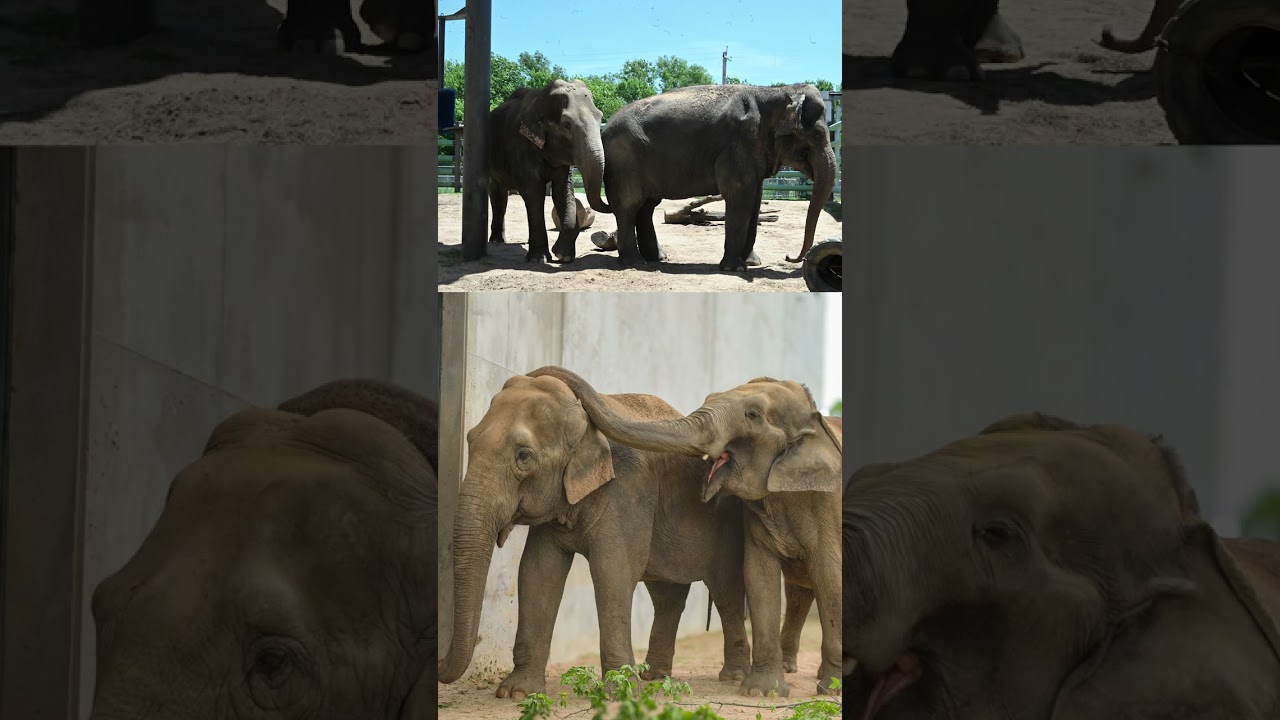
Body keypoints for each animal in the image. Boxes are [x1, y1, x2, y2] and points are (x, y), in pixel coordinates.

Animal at [438, 371, 779, 700]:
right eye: (470, 440)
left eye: (523, 456)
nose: (439, 660)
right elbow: (537, 571)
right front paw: (517, 692)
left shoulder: (628, 491)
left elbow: (612, 571)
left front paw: (621, 693)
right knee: (667, 597)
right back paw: (655, 677)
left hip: (728, 529)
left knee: (725, 593)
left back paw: (730, 677)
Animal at [487, 79, 610, 264]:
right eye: (566, 125)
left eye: (600, 117)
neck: (540, 97)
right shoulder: (520, 145)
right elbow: (533, 193)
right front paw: (539, 259)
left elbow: (563, 192)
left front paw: (563, 255)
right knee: (497, 195)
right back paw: (496, 241)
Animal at [527, 367, 844, 697]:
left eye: (753, 415)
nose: (535, 375)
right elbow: (759, 576)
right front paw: (761, 693)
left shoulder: (828, 504)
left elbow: (830, 576)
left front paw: (830, 690)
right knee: (794, 595)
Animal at [586, 83, 838, 272]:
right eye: (817, 134)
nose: (788, 257)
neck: (775, 91)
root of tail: (604, 129)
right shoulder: (736, 147)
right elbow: (740, 196)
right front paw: (734, 269)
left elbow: (755, 200)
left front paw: (752, 263)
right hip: (625, 162)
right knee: (629, 205)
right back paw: (635, 263)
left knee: (646, 206)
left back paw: (658, 258)